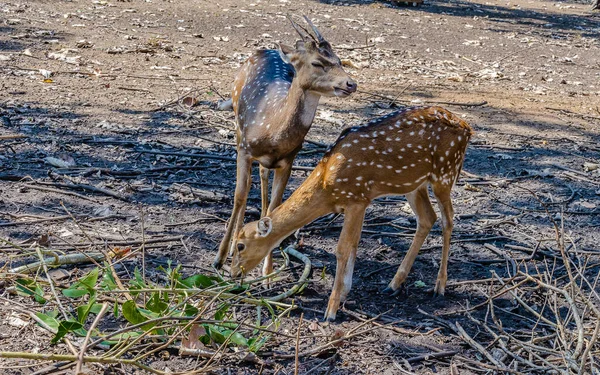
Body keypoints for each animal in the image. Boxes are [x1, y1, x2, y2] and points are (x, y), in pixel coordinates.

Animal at [213, 16, 356, 278]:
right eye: (317, 62)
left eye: (340, 60)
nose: (351, 84)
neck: (273, 131)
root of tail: (266, 49)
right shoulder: (245, 149)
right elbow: (239, 195)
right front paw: (220, 257)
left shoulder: (288, 161)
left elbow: (274, 207)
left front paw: (267, 273)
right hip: (237, 126)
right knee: (248, 185)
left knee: (262, 176)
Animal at [230, 106, 474, 324]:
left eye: (240, 245)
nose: (232, 273)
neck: (327, 183)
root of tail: (467, 127)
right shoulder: (362, 201)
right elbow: (355, 243)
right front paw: (345, 293)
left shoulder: (356, 197)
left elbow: (342, 248)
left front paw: (331, 310)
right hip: (414, 184)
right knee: (427, 218)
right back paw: (394, 284)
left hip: (445, 172)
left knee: (448, 219)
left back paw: (439, 286)